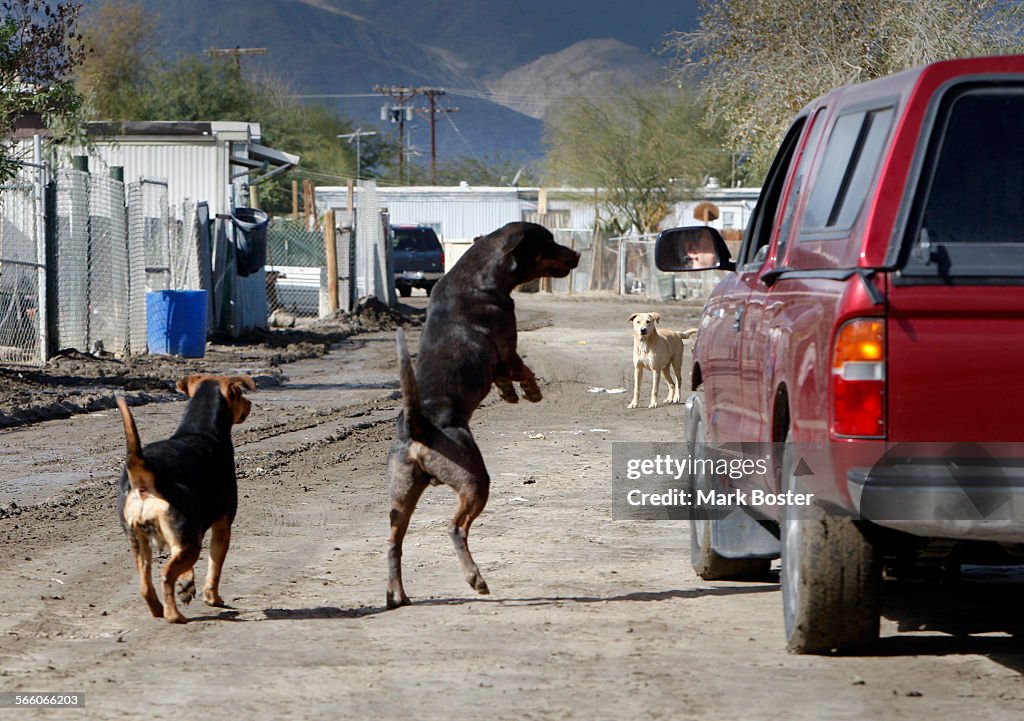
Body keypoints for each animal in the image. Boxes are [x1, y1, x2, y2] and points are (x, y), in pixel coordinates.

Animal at [115, 374, 256, 622]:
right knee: (165, 575)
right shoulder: (222, 526)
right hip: (190, 542)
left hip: (141, 543)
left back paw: (158, 610)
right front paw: (213, 598)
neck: (200, 428)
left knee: (145, 585)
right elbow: (215, 566)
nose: (250, 404)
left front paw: (187, 584)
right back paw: (174, 615)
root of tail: (143, 475)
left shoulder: (186, 535)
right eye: (240, 393)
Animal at [385, 219, 581, 606]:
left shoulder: (501, 360)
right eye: (550, 241)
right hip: (475, 481)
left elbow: (506, 377)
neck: (480, 274)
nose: (577, 254)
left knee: (394, 543)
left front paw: (509, 393)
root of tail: (418, 428)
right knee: (455, 527)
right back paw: (476, 579)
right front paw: (530, 392)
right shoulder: (508, 347)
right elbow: (523, 369)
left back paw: (396, 594)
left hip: (402, 493)